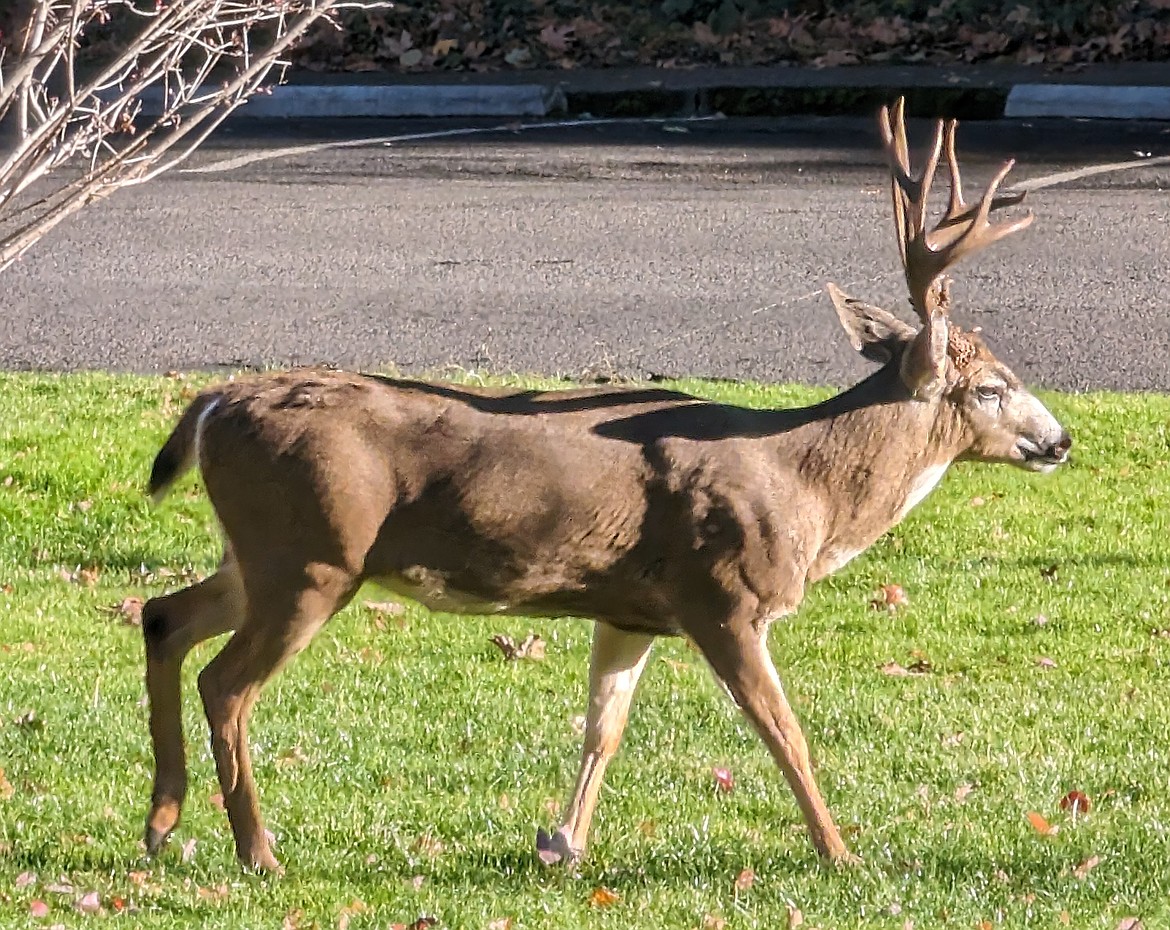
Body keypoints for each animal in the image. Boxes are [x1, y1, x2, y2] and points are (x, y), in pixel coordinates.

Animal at [139, 100, 1071, 875]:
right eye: (992, 386)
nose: (1059, 440)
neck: (804, 484)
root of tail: (214, 403)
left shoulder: (630, 609)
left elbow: (603, 730)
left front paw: (564, 844)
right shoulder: (721, 596)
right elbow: (786, 733)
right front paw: (841, 854)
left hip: (261, 554)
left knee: (161, 617)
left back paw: (161, 821)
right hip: (312, 556)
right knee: (226, 683)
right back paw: (258, 851)